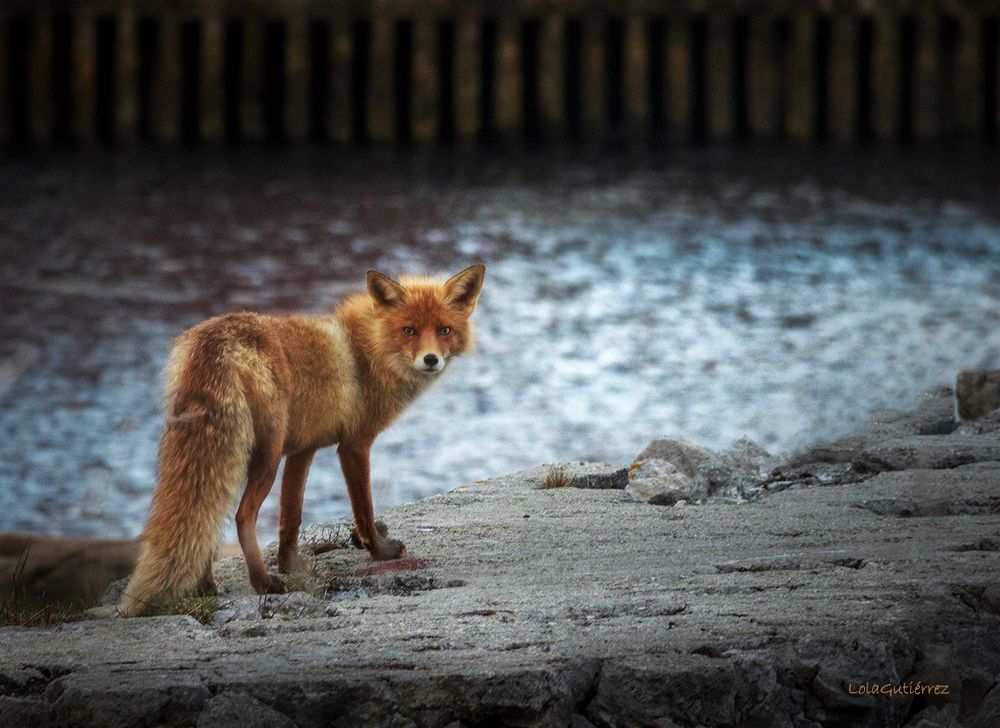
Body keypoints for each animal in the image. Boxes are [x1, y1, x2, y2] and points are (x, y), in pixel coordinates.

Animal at [119, 262, 486, 616]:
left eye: (444, 330)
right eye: (409, 330)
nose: (431, 360)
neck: (367, 353)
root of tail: (215, 340)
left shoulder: (303, 449)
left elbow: (290, 519)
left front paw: (289, 564)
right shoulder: (353, 445)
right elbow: (363, 509)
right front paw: (379, 551)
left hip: (228, 455)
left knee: (208, 518)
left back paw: (206, 587)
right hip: (264, 455)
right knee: (241, 516)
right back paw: (262, 583)